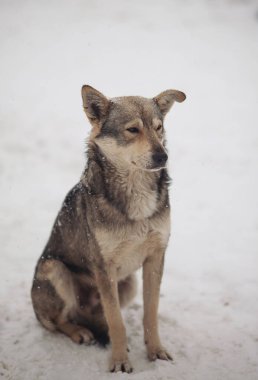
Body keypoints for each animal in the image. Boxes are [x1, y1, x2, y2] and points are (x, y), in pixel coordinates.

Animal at [31, 84, 186, 372]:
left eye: (158, 127)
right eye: (132, 129)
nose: (163, 156)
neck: (136, 192)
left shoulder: (155, 256)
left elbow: (150, 314)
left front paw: (156, 352)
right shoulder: (105, 266)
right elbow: (117, 322)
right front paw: (119, 361)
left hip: (129, 283)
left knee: (98, 315)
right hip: (54, 268)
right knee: (59, 321)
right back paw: (80, 332)